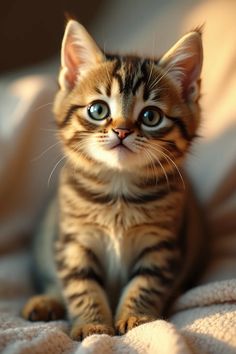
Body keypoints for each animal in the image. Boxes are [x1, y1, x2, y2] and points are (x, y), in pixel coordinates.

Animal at [22, 20, 205, 340]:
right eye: (98, 110)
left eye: (150, 116)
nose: (122, 131)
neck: (118, 190)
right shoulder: (74, 241)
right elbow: (81, 286)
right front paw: (92, 325)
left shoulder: (161, 245)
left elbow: (146, 283)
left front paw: (137, 317)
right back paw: (45, 302)